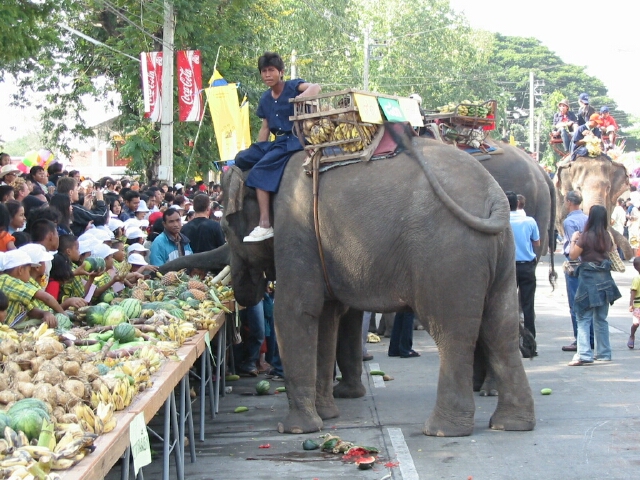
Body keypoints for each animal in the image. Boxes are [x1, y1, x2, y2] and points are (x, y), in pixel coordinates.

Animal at [221, 124, 535, 437]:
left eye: (224, 226)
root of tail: (494, 196)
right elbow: (326, 317)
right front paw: (327, 414)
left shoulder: (296, 228)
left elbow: (295, 311)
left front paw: (296, 430)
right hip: (499, 256)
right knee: (501, 329)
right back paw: (511, 424)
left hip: (448, 256)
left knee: (452, 332)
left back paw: (442, 430)